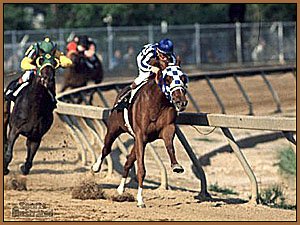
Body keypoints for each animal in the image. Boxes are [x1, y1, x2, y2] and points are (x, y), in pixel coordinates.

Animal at [91, 60, 189, 207]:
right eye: (168, 78)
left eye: (183, 78)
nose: (181, 102)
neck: (157, 103)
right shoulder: (140, 135)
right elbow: (141, 169)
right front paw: (140, 200)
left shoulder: (166, 129)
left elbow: (170, 146)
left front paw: (176, 165)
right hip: (114, 128)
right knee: (106, 148)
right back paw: (96, 167)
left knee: (128, 161)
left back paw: (120, 189)